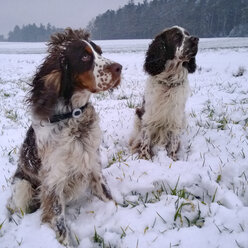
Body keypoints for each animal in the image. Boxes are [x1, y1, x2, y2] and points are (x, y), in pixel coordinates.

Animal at [6, 28, 121, 245]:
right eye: (84, 56)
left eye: (100, 52)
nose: (119, 68)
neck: (73, 118)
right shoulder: (53, 182)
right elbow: (59, 223)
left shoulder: (93, 166)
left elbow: (109, 197)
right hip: (23, 186)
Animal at [129, 25, 199, 161]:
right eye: (176, 36)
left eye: (188, 34)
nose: (196, 39)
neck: (168, 81)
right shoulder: (148, 116)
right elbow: (145, 140)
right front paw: (145, 157)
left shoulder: (176, 118)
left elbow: (174, 142)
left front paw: (172, 158)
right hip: (138, 114)